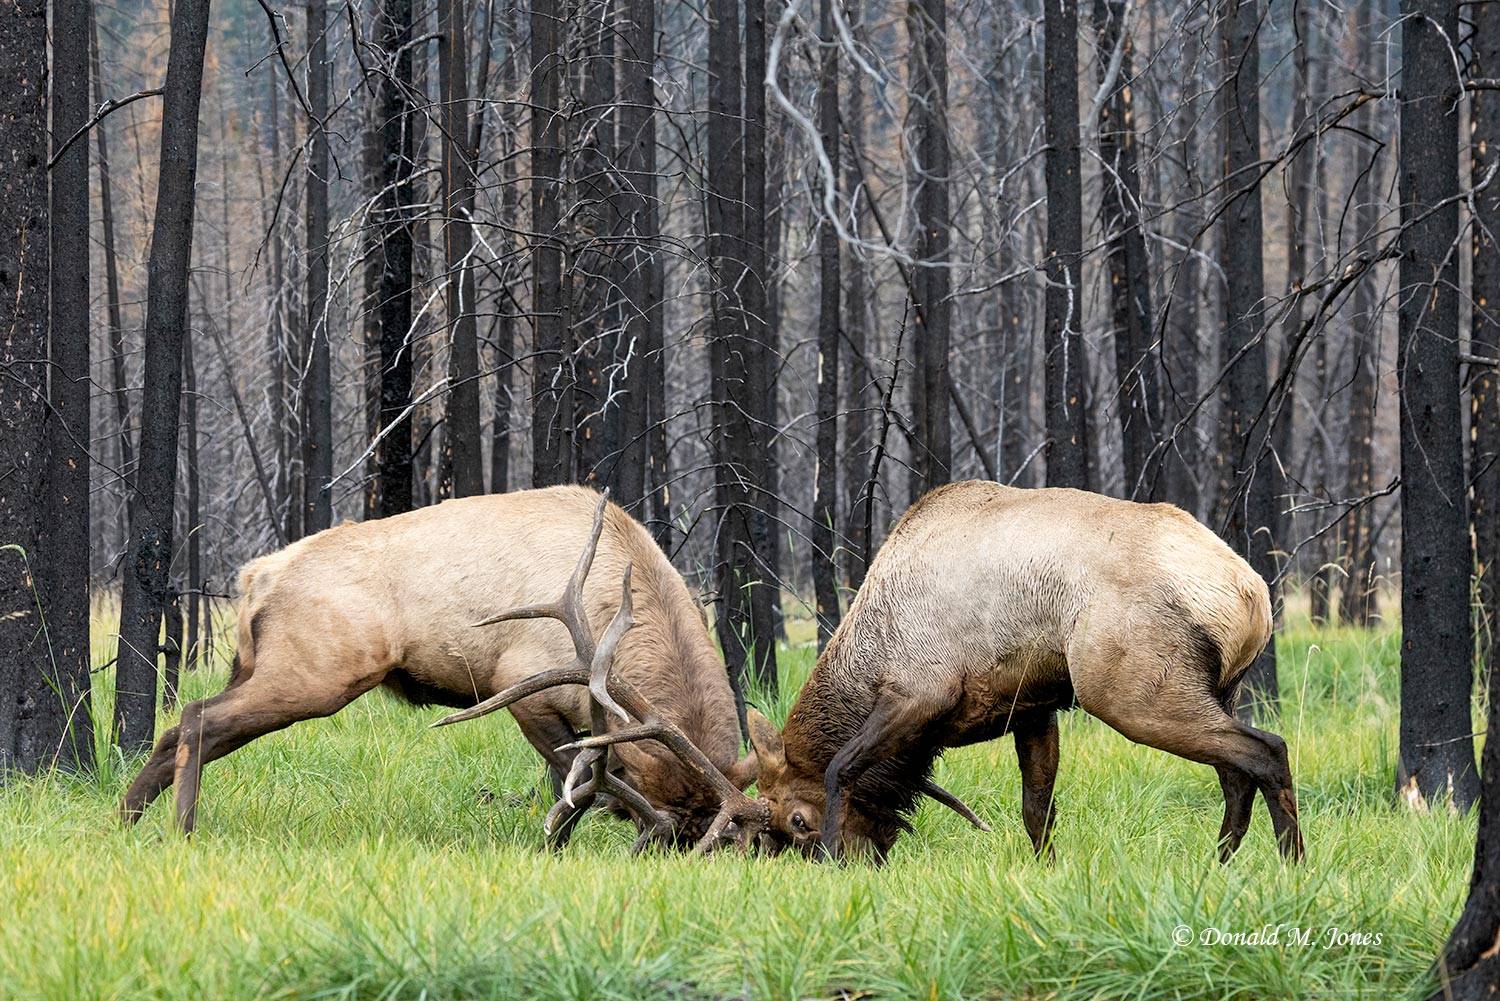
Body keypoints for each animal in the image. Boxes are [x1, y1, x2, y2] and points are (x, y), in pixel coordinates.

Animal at [743, 481, 1302, 865]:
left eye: (797, 820)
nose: (863, 859)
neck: (868, 656)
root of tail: (1251, 594)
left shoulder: (921, 692)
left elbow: (841, 766)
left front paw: (834, 856)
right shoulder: (1034, 708)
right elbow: (1037, 809)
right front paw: (1047, 870)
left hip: (1131, 693)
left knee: (1266, 750)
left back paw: (1290, 864)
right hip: (1218, 689)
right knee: (1236, 773)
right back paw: (1219, 863)